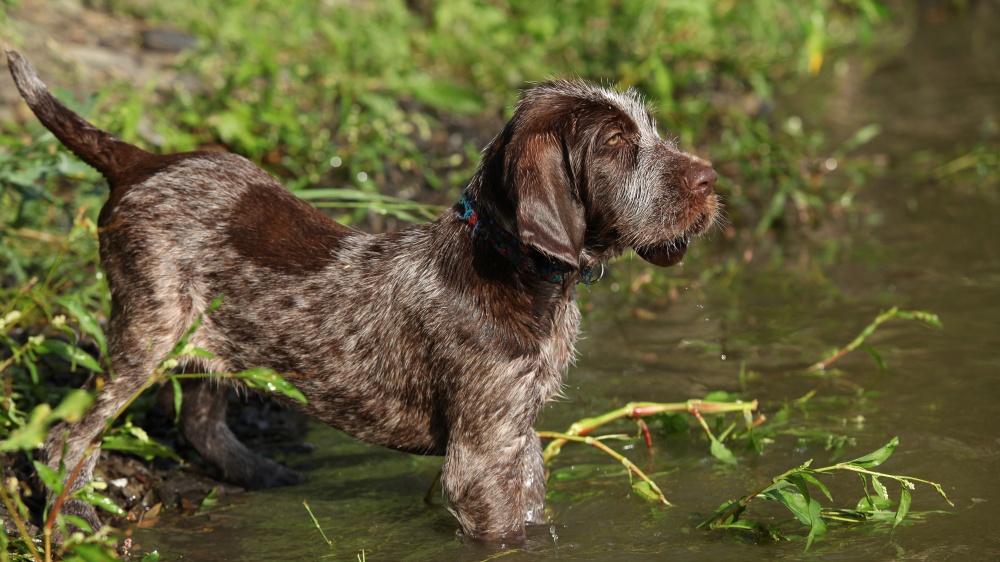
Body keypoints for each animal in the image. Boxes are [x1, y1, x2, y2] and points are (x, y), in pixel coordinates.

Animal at [3, 50, 716, 540]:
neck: (515, 266)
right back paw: (69, 520)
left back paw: (265, 475)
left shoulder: (518, 437)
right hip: (148, 332)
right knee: (69, 438)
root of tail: (141, 162)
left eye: (649, 130)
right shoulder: (483, 454)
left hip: (214, 336)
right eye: (617, 146)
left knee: (198, 419)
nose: (711, 179)